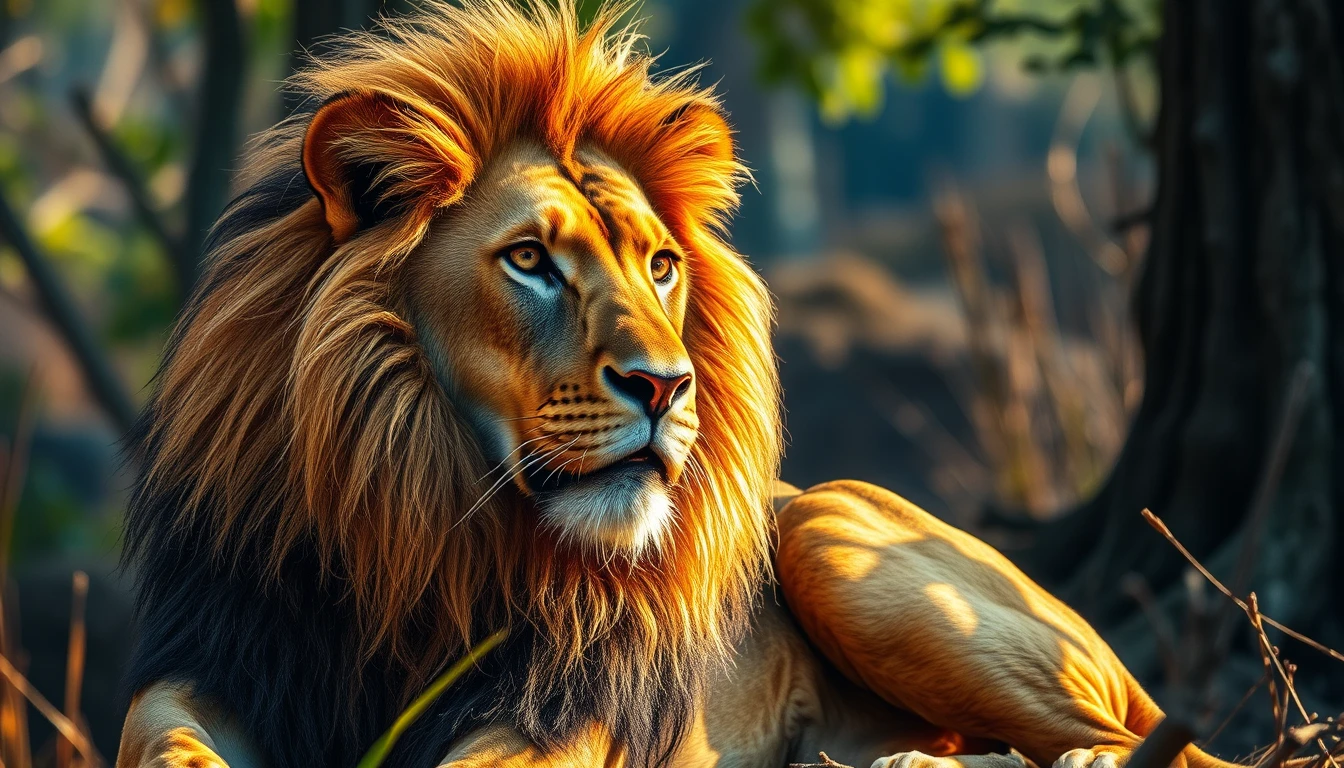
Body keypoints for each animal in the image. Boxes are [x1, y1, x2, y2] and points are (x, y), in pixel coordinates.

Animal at [116, 3, 1237, 768]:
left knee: (1172, 749)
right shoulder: (221, 653)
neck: (421, 524)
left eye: (660, 265)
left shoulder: (562, 709)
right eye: (531, 261)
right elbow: (155, 730)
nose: (667, 387)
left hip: (828, 530)